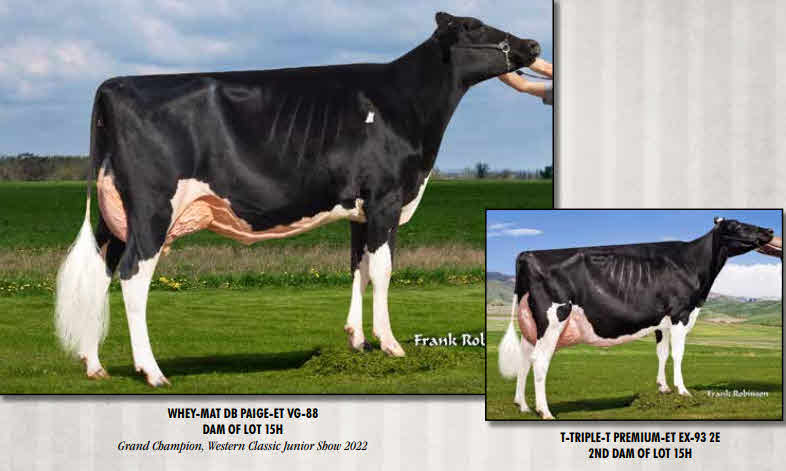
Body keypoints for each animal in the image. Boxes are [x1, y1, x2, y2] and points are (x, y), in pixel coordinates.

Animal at [53, 12, 541, 387]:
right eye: (473, 26)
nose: (533, 43)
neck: (403, 105)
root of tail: (114, 85)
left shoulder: (360, 209)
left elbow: (359, 268)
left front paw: (357, 341)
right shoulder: (386, 198)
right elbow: (384, 271)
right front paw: (390, 345)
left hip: (115, 217)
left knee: (101, 274)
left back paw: (95, 366)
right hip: (152, 210)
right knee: (132, 277)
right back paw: (151, 371)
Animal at [498, 218, 782, 419]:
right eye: (737, 225)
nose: (769, 230)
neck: (694, 265)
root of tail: (528, 253)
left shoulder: (661, 321)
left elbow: (662, 353)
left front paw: (663, 388)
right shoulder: (680, 313)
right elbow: (678, 354)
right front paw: (682, 390)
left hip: (531, 325)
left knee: (524, 358)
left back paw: (522, 405)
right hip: (553, 319)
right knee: (539, 361)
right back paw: (544, 411)